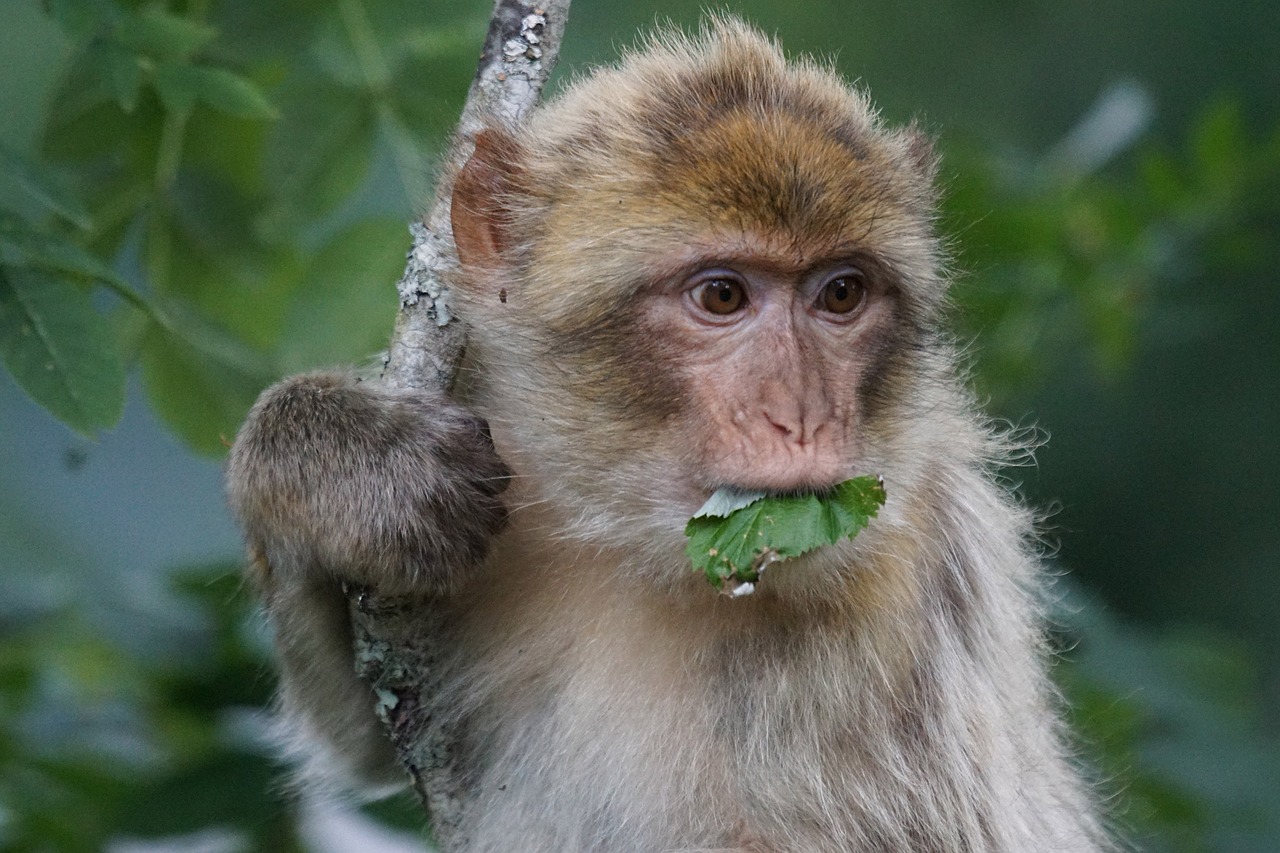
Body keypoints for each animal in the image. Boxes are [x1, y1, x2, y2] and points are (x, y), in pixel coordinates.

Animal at [227, 14, 1111, 850]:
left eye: (841, 293)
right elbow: (364, 734)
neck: (638, 551)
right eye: (722, 295)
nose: (803, 417)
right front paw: (348, 468)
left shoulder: (905, 587)